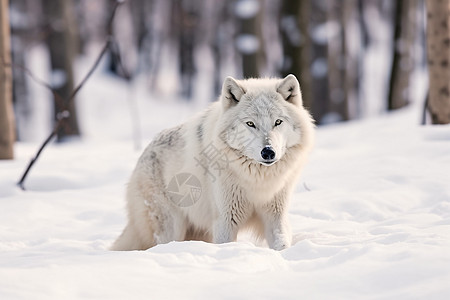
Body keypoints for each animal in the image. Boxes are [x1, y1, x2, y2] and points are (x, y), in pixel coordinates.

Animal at [110, 74, 314, 250]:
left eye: (278, 122)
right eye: (250, 124)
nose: (268, 152)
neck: (258, 180)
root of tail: (142, 158)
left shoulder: (275, 216)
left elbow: (282, 243)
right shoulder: (225, 219)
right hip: (171, 228)